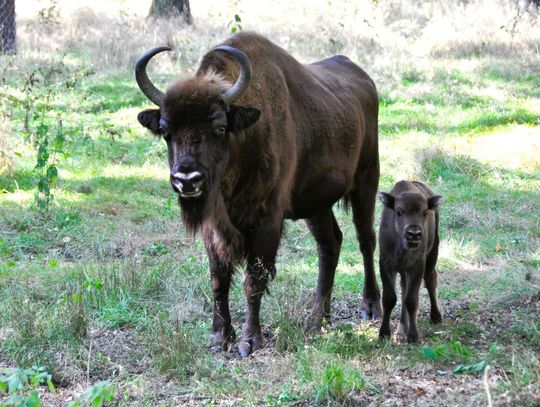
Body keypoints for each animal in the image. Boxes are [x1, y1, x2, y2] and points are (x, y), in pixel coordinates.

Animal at [135, 32, 380, 356]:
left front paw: (249, 341)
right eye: (166, 131)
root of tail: (364, 79)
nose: (187, 178)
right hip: (316, 204)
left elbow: (254, 279)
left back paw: (370, 307)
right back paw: (318, 320)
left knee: (366, 240)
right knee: (330, 245)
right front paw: (219, 337)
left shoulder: (267, 221)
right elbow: (219, 279)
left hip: (367, 180)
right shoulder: (214, 228)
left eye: (220, 126)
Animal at [378, 182, 440, 344]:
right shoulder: (386, 264)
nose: (414, 234)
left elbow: (411, 300)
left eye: (424, 213)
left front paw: (413, 336)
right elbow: (389, 298)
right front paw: (383, 333)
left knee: (431, 279)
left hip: (432, 254)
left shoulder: (417, 266)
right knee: (404, 288)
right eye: (399, 212)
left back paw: (436, 316)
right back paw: (401, 330)